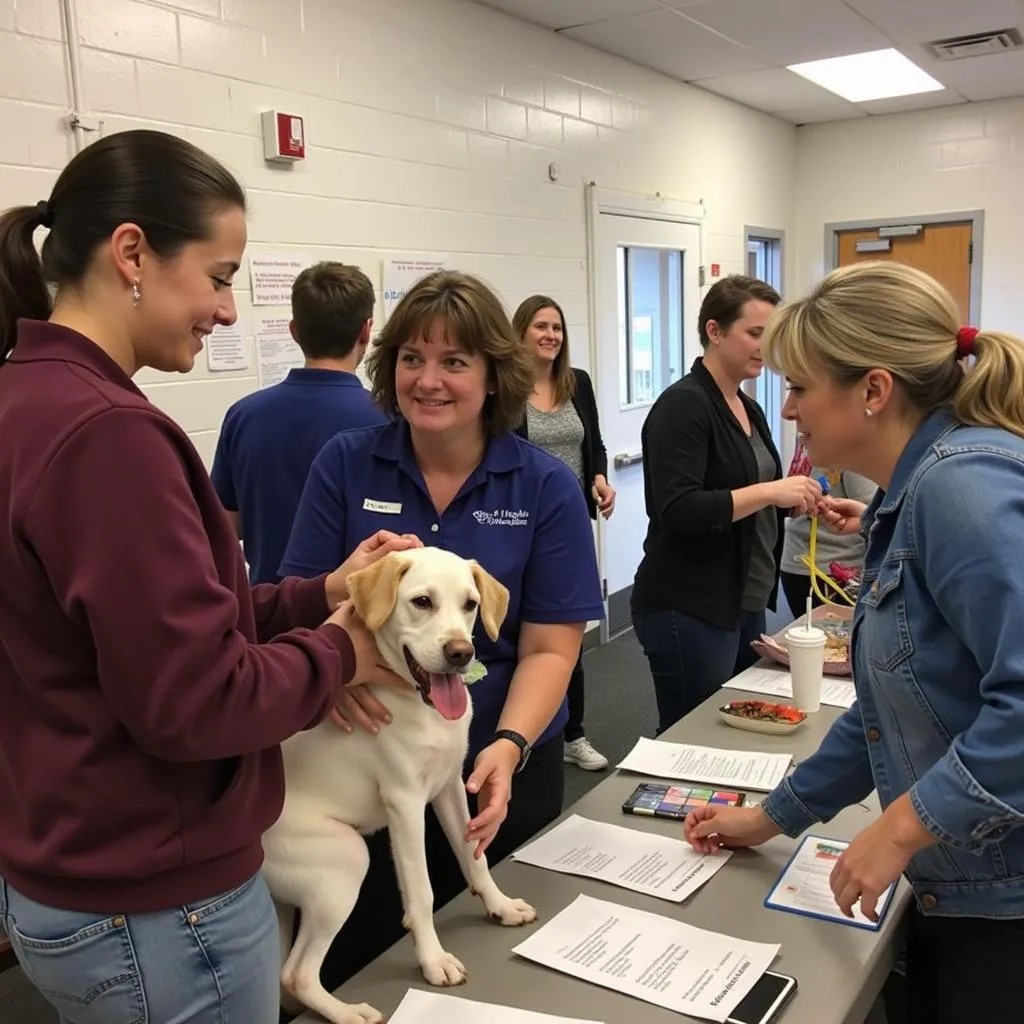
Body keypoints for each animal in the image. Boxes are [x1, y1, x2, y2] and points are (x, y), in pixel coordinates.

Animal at [262, 552, 536, 1024]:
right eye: (422, 601)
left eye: (470, 604)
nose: (461, 653)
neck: (421, 707)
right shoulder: (405, 804)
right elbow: (421, 893)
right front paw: (433, 960)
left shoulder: (449, 786)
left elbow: (475, 858)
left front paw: (499, 905)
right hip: (343, 862)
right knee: (296, 973)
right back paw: (348, 1012)